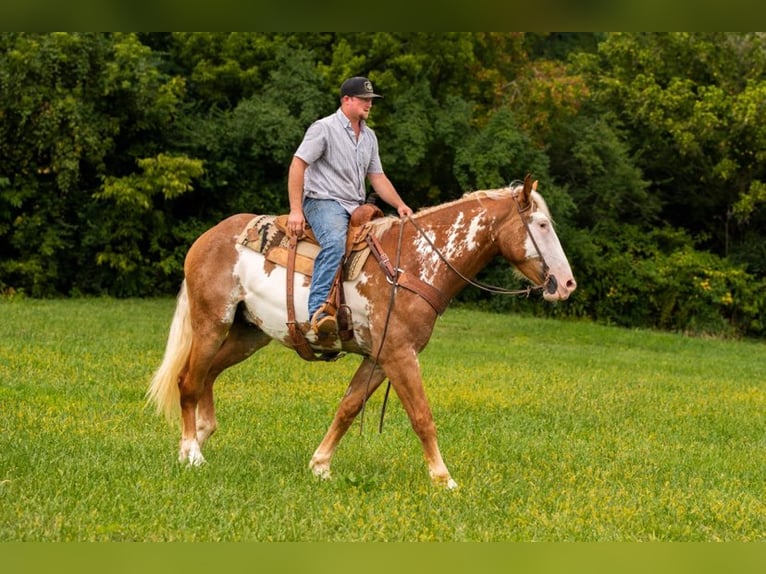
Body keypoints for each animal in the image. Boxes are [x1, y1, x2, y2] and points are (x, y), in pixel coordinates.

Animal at [146, 177, 576, 490]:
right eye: (541, 225)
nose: (567, 283)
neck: (415, 263)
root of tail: (206, 239)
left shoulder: (378, 358)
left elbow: (349, 407)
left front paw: (320, 466)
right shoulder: (399, 355)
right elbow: (422, 416)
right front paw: (444, 479)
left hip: (247, 334)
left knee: (207, 375)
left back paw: (199, 439)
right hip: (211, 323)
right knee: (188, 380)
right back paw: (192, 453)